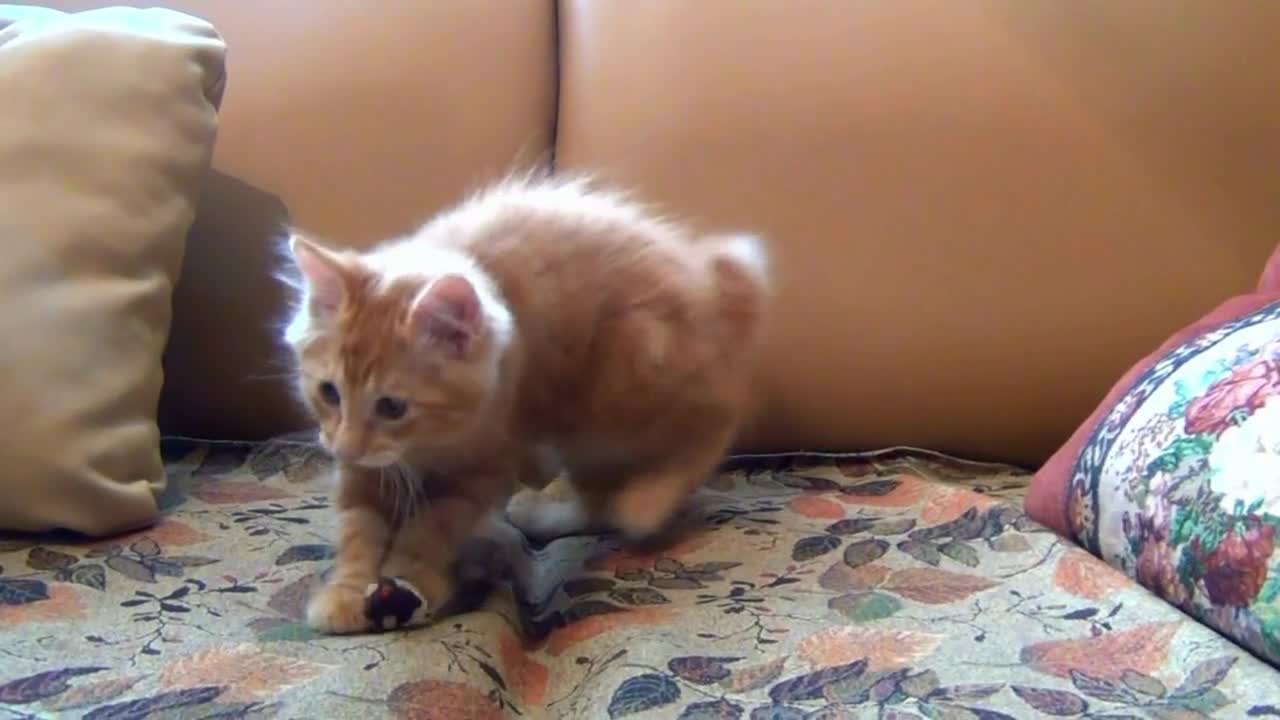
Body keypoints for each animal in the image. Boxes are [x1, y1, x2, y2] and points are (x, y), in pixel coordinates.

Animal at [281, 175, 768, 632]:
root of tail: (716, 291)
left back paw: (649, 498)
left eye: (392, 407)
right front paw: (346, 593)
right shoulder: (364, 473)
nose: (342, 447)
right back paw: (542, 515)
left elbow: (429, 531)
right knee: (598, 503)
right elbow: (358, 529)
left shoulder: (484, 467)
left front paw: (410, 579)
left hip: (620, 390)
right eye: (329, 393)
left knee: (710, 428)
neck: (430, 444)